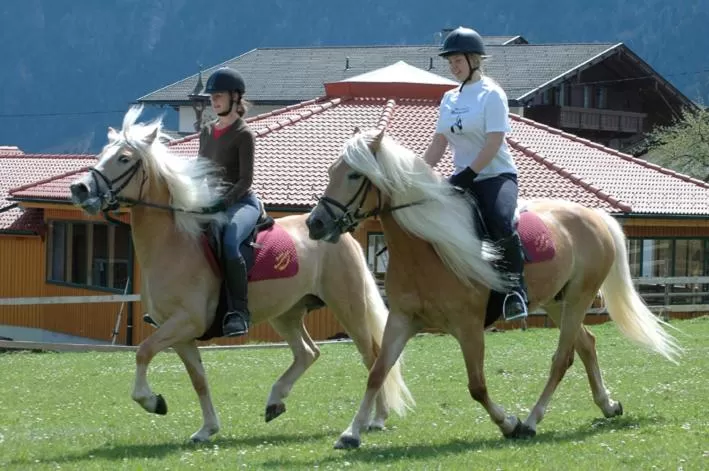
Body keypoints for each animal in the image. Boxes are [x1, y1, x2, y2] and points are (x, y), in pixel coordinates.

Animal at [68, 106, 414, 443]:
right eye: (104, 153)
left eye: (124, 158)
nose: (80, 189)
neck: (174, 242)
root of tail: (338, 232)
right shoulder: (181, 332)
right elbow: (198, 379)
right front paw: (207, 429)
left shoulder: (185, 322)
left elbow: (143, 352)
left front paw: (153, 402)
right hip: (287, 313)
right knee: (308, 353)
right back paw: (275, 401)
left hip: (347, 308)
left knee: (373, 357)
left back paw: (374, 420)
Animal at [305, 127, 682, 449]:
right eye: (332, 170)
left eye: (354, 175)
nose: (315, 224)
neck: (427, 247)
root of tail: (594, 216)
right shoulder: (402, 320)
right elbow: (377, 372)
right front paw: (351, 433)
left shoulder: (469, 328)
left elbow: (477, 386)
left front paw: (508, 423)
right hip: (556, 301)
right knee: (587, 344)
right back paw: (607, 405)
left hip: (578, 298)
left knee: (562, 358)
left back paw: (531, 421)